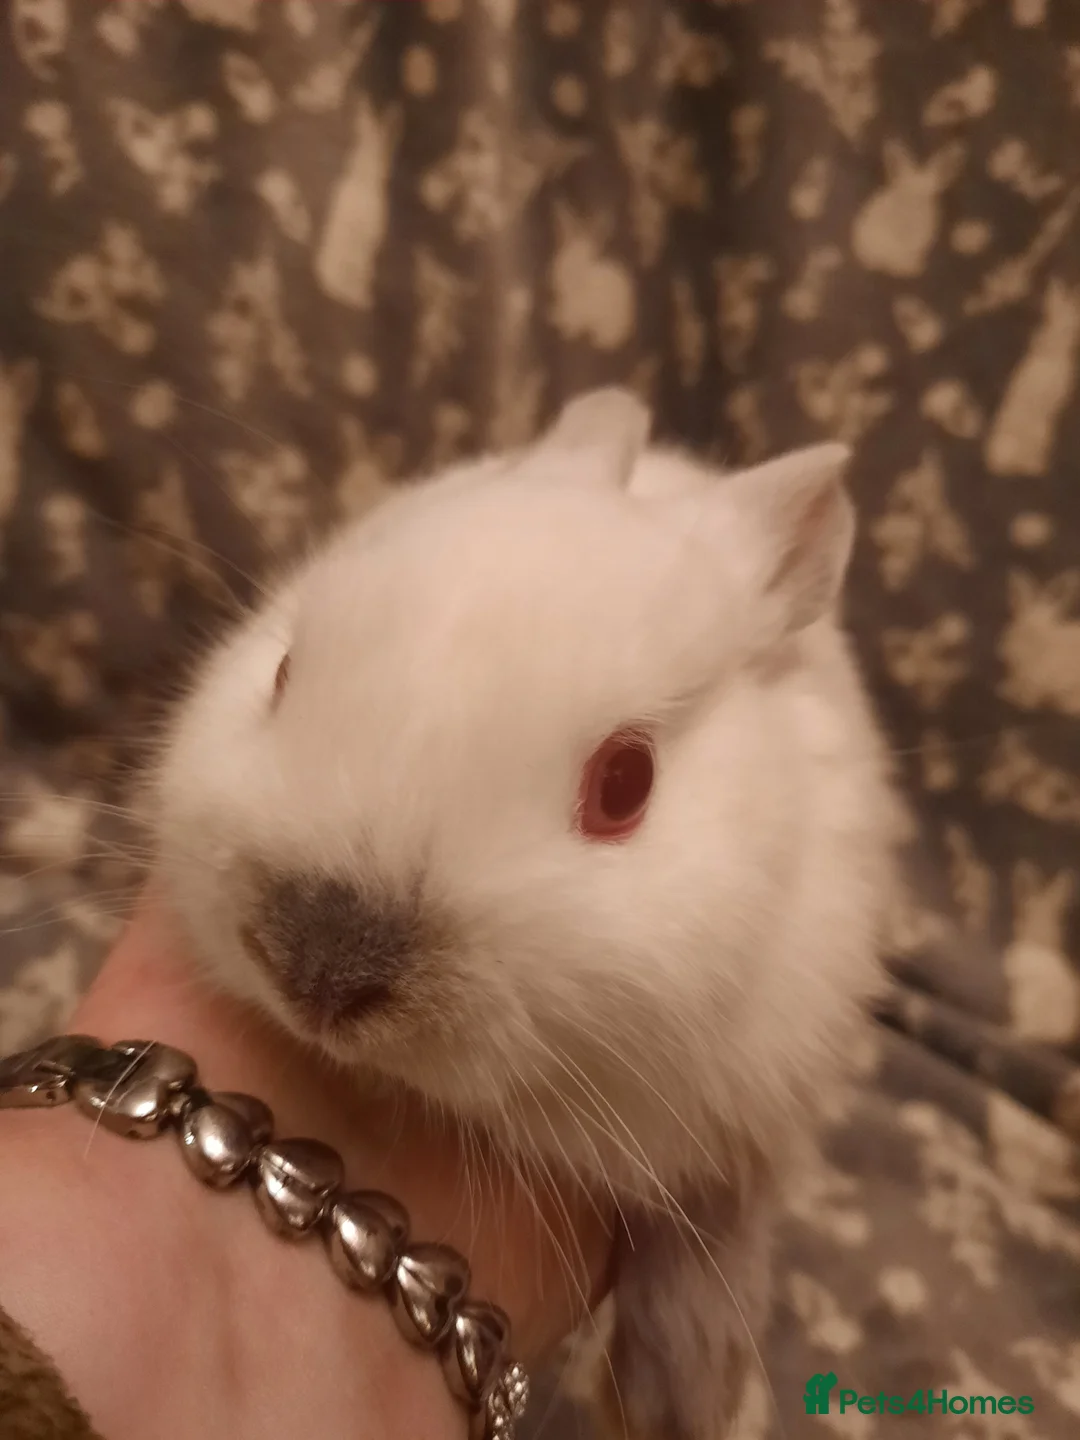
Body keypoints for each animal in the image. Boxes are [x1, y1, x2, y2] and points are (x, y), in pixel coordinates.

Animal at [148, 387, 899, 1440]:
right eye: (285, 672)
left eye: (625, 785)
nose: (317, 969)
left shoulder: (761, 1096)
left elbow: (715, 1234)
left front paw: (687, 1397)